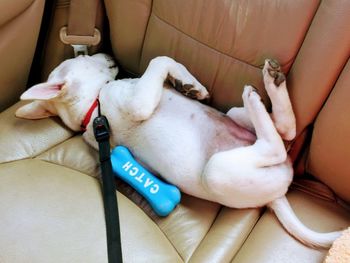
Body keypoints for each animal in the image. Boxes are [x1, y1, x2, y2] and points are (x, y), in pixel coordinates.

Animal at [15, 53, 342, 250]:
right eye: (82, 56)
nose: (109, 54)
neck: (93, 110)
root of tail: (278, 195)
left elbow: (163, 64)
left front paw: (188, 85)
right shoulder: (138, 104)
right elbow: (160, 59)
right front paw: (191, 83)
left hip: (234, 118)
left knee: (284, 131)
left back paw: (271, 86)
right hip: (219, 172)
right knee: (275, 144)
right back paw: (255, 97)